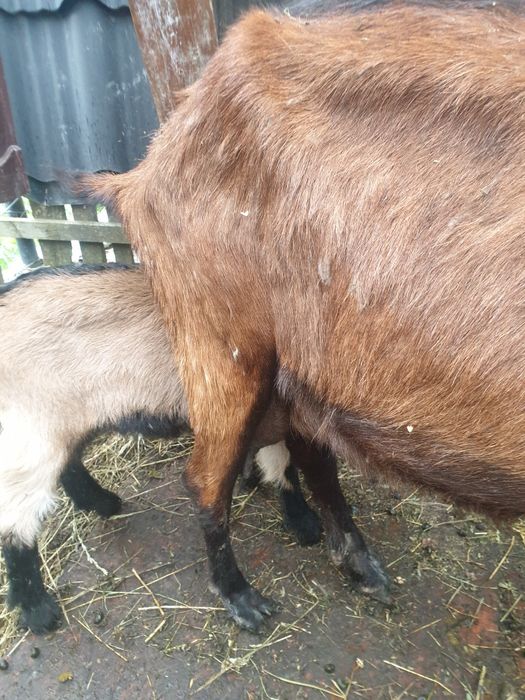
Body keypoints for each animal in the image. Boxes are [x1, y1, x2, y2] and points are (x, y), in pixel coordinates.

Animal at [1, 264, 338, 634]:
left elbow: (280, 462)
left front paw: (297, 516)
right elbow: (282, 462)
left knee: (69, 462)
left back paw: (101, 502)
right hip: (34, 429)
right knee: (17, 517)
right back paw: (36, 609)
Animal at [85, 2, 525, 630]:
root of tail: (141, 172)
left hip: (299, 367)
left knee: (310, 448)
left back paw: (365, 572)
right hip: (221, 344)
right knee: (204, 478)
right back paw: (246, 603)